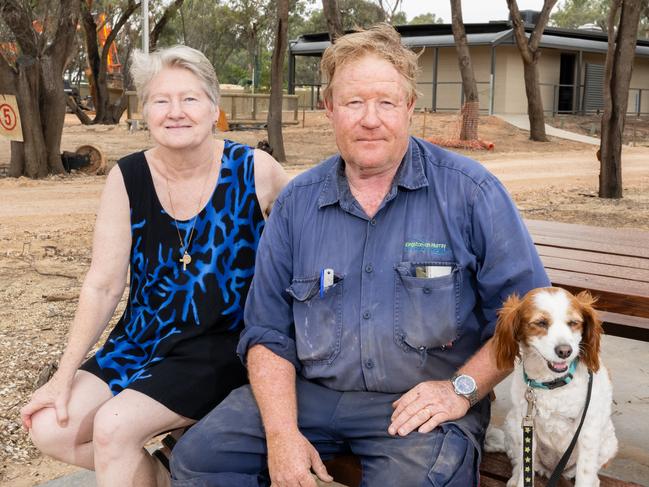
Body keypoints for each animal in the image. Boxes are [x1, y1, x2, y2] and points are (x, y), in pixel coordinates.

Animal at [486, 288, 616, 486]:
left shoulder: (588, 432)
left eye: (573, 323)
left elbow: (585, 475)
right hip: (512, 424)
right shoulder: (525, 426)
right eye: (540, 323)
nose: (565, 351)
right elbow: (524, 469)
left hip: (608, 443)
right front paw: (520, 479)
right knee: (518, 463)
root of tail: (551, 470)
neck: (552, 383)